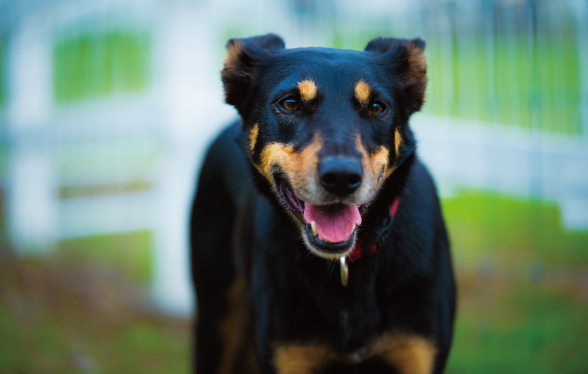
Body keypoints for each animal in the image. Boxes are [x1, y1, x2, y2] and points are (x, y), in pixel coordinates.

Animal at [191, 33, 458, 372]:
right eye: (290, 103)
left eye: (377, 107)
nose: (342, 177)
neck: (344, 266)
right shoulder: (287, 354)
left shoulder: (419, 350)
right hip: (215, 319)